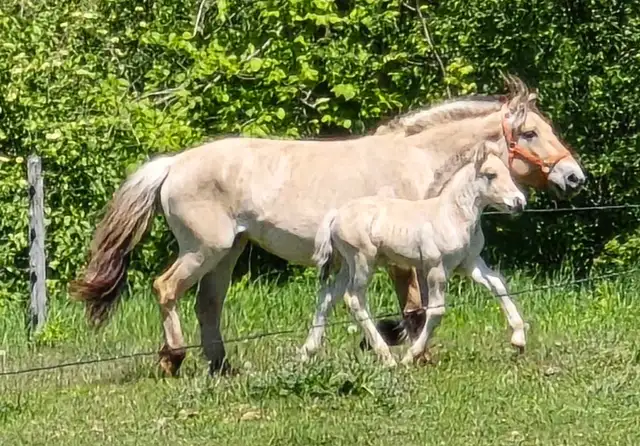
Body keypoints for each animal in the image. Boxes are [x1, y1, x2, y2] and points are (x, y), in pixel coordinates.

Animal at [304, 141, 526, 366]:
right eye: (491, 175)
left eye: (508, 172)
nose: (519, 202)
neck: (452, 215)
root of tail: (335, 215)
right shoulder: (436, 267)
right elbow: (436, 310)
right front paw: (411, 355)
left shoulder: (469, 262)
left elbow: (498, 283)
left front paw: (519, 339)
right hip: (363, 260)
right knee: (354, 299)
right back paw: (387, 358)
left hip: (348, 265)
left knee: (329, 296)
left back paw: (307, 352)